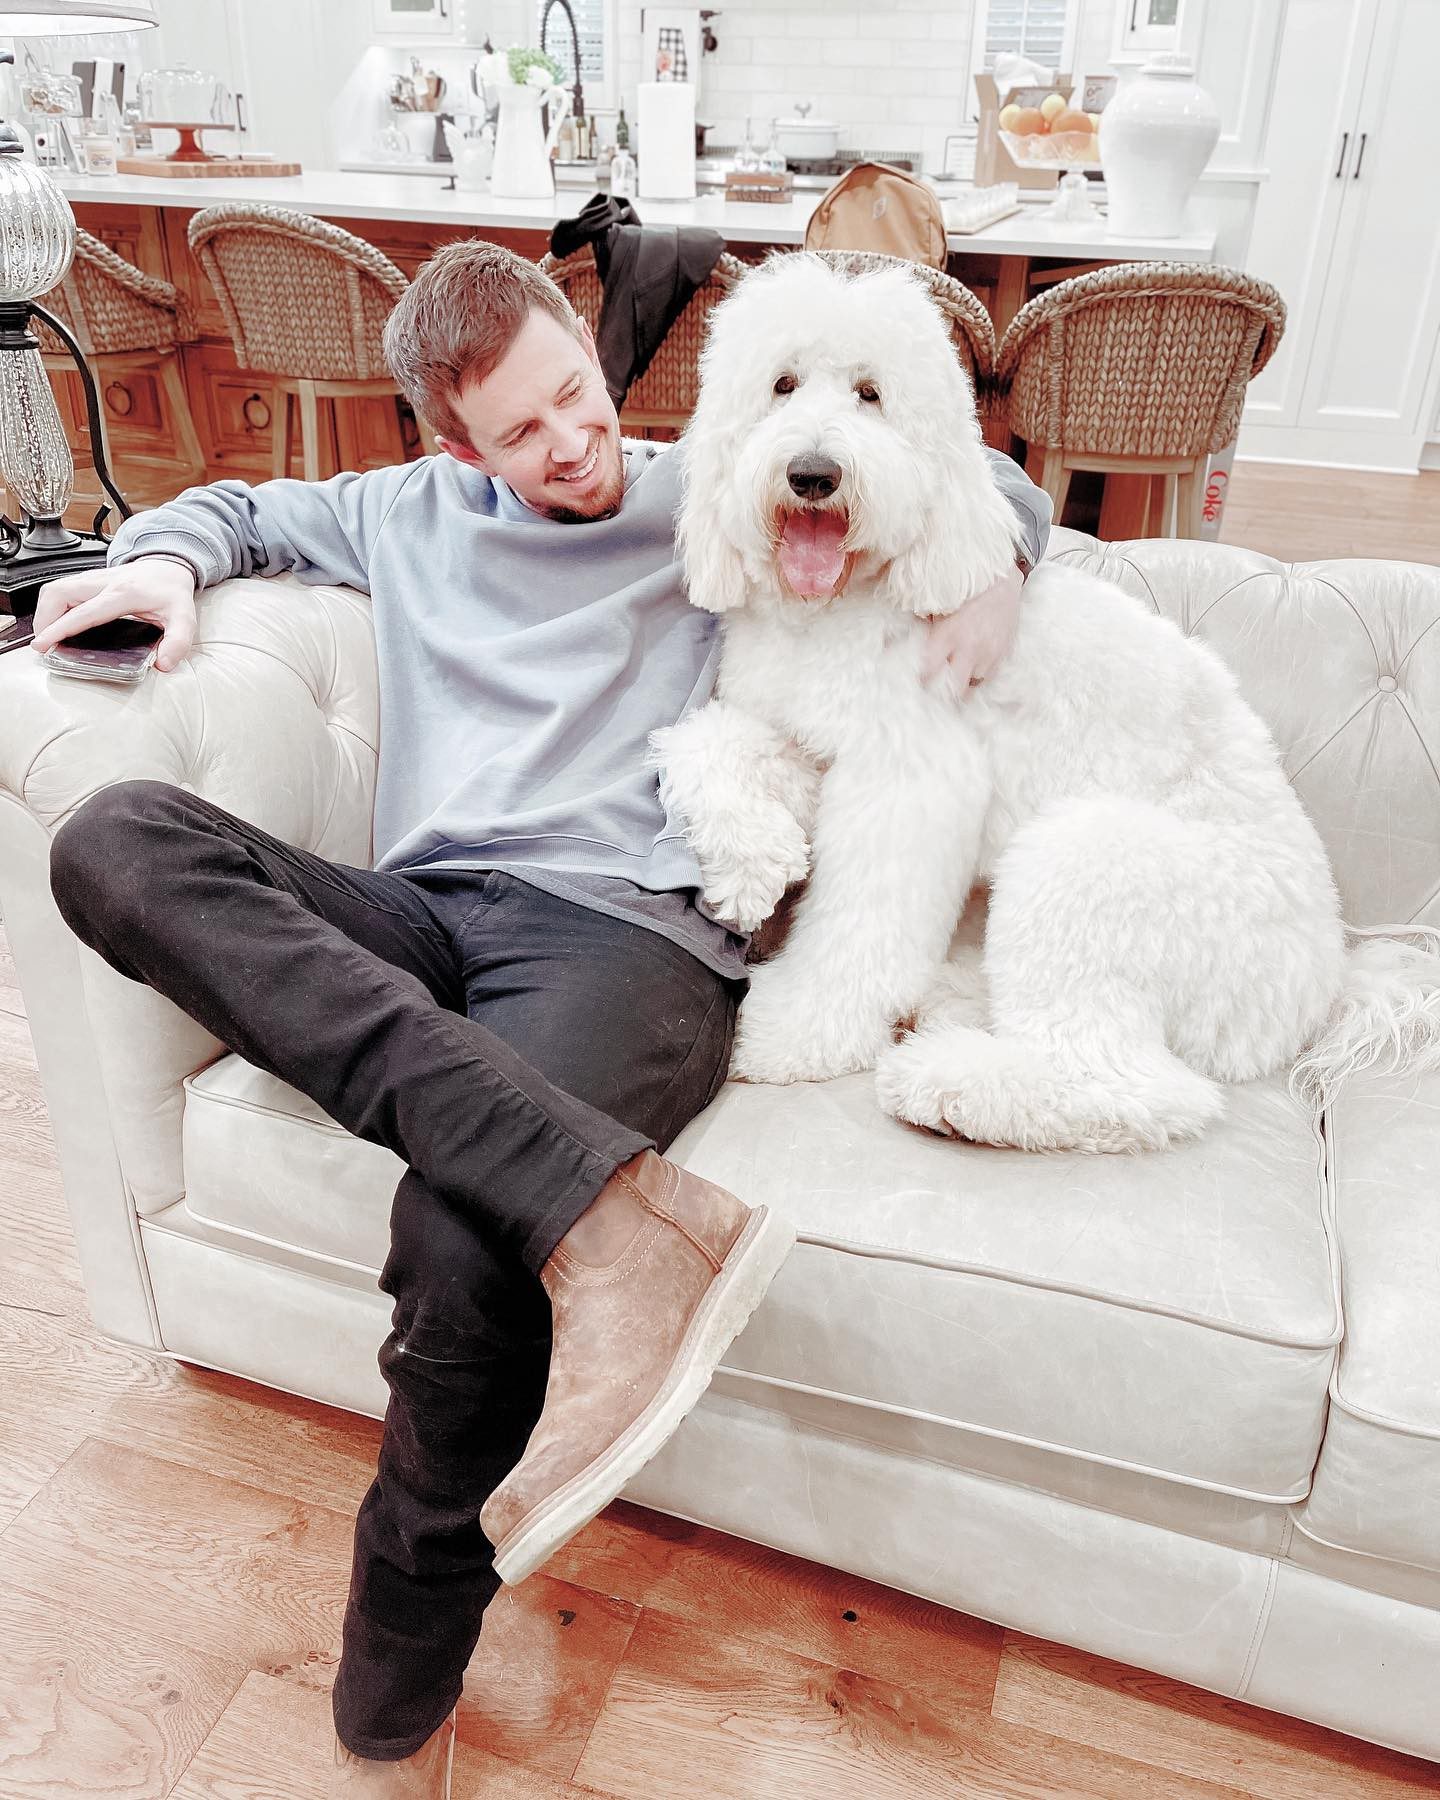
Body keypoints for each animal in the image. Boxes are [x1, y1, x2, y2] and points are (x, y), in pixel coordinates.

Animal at [655, 253, 1440, 1152]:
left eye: (870, 394)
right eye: (781, 385)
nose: (813, 473)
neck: (843, 605)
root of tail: (1331, 981)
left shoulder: (905, 785)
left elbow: (861, 926)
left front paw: (794, 1030)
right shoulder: (806, 739)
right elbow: (703, 740)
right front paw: (750, 864)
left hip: (1088, 867)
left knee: (1133, 1084)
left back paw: (956, 1084)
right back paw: (952, 1002)